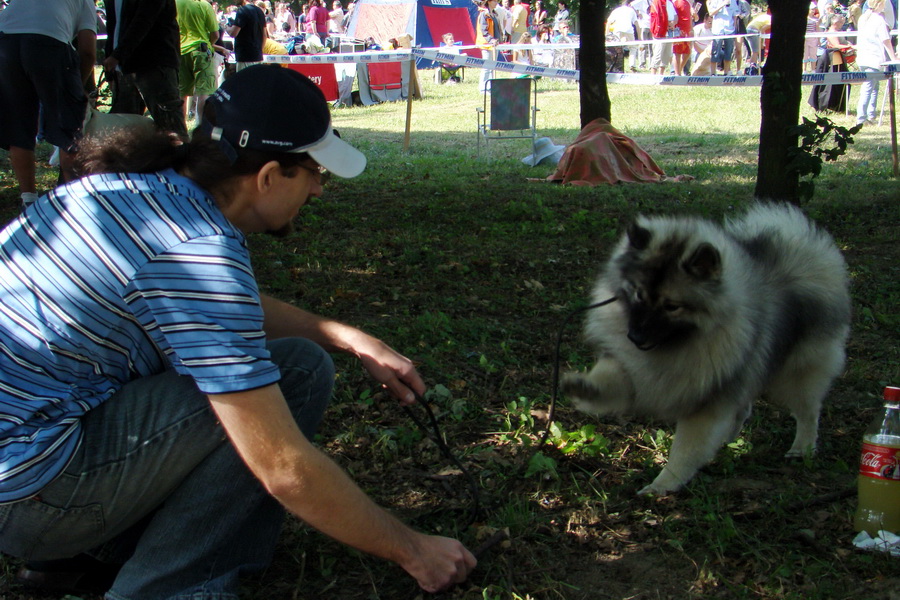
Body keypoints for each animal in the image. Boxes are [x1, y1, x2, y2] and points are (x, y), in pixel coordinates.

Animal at [564, 204, 852, 494]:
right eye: (638, 294)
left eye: (672, 306)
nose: (635, 337)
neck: (680, 343)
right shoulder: (636, 368)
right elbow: (612, 379)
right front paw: (585, 387)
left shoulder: (707, 400)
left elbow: (685, 451)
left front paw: (662, 485)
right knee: (744, 407)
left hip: (795, 373)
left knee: (808, 412)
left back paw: (802, 448)